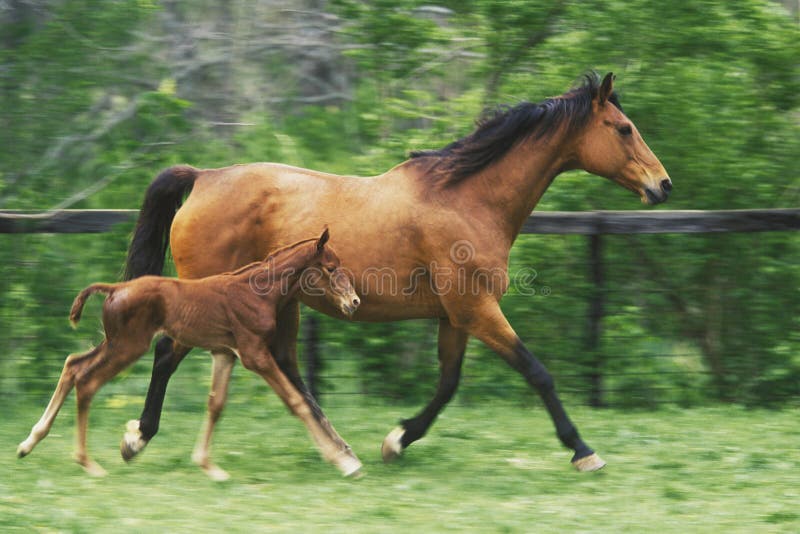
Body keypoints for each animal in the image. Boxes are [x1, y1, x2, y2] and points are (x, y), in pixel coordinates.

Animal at [17, 228, 360, 480]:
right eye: (331, 268)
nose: (354, 302)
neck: (257, 292)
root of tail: (114, 289)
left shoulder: (224, 353)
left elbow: (216, 405)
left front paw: (209, 467)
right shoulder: (255, 355)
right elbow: (297, 401)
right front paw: (343, 462)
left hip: (116, 342)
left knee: (73, 365)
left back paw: (28, 444)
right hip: (129, 345)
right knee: (87, 382)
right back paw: (87, 463)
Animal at [119, 73, 668, 480]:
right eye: (623, 128)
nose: (662, 185)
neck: (466, 199)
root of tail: (203, 177)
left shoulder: (455, 316)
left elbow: (447, 383)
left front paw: (397, 441)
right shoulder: (478, 309)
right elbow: (537, 372)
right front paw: (583, 451)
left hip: (281, 304)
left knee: (285, 365)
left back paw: (340, 447)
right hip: (210, 298)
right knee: (168, 352)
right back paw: (137, 438)